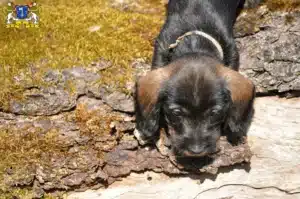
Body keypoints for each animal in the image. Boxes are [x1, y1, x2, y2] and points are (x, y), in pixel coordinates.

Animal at [134, 0, 255, 158]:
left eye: (214, 113)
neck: (195, 43)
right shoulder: (161, 48)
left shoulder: (232, 53)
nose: (196, 150)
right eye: (176, 113)